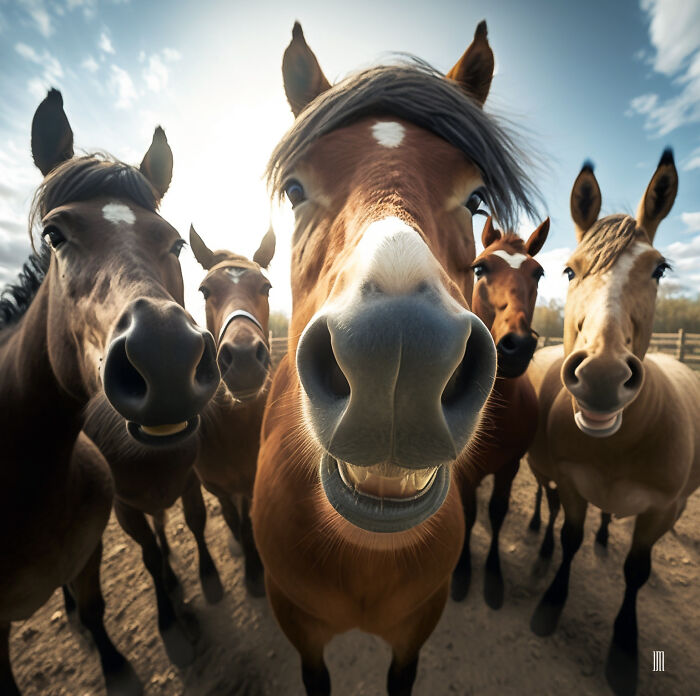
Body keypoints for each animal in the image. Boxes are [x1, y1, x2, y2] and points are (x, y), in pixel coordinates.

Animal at [450, 215, 549, 608]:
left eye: (538, 273)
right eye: (480, 268)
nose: (516, 345)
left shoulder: (510, 467)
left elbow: (497, 511)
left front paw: (493, 576)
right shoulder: (465, 472)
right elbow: (469, 511)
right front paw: (462, 572)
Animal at [526, 150, 699, 696]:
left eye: (660, 269)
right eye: (568, 271)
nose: (602, 374)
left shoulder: (662, 510)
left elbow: (636, 570)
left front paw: (624, 649)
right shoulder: (572, 482)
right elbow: (569, 539)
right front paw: (550, 605)